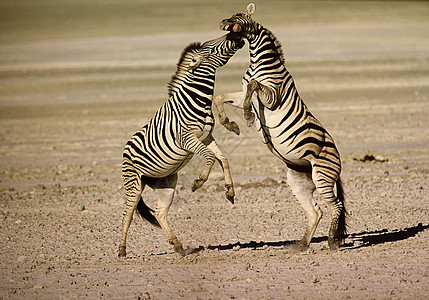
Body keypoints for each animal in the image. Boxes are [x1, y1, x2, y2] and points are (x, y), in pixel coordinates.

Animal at [118, 33, 244, 258]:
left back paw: (178, 246)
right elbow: (211, 158)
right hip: (133, 184)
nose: (235, 35)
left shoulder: (206, 137)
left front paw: (230, 191)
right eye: (212, 49)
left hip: (166, 183)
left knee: (159, 213)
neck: (197, 99)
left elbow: (223, 158)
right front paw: (199, 182)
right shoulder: (187, 139)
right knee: (128, 214)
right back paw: (122, 250)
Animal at [212, 3, 346, 252]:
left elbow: (254, 86)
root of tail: (338, 161)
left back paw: (332, 242)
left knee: (336, 206)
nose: (223, 21)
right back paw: (300, 245)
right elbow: (221, 97)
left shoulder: (273, 95)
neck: (258, 63)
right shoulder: (241, 94)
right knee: (316, 212)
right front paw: (229, 124)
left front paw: (247, 116)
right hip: (298, 180)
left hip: (323, 175)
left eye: (239, 16)